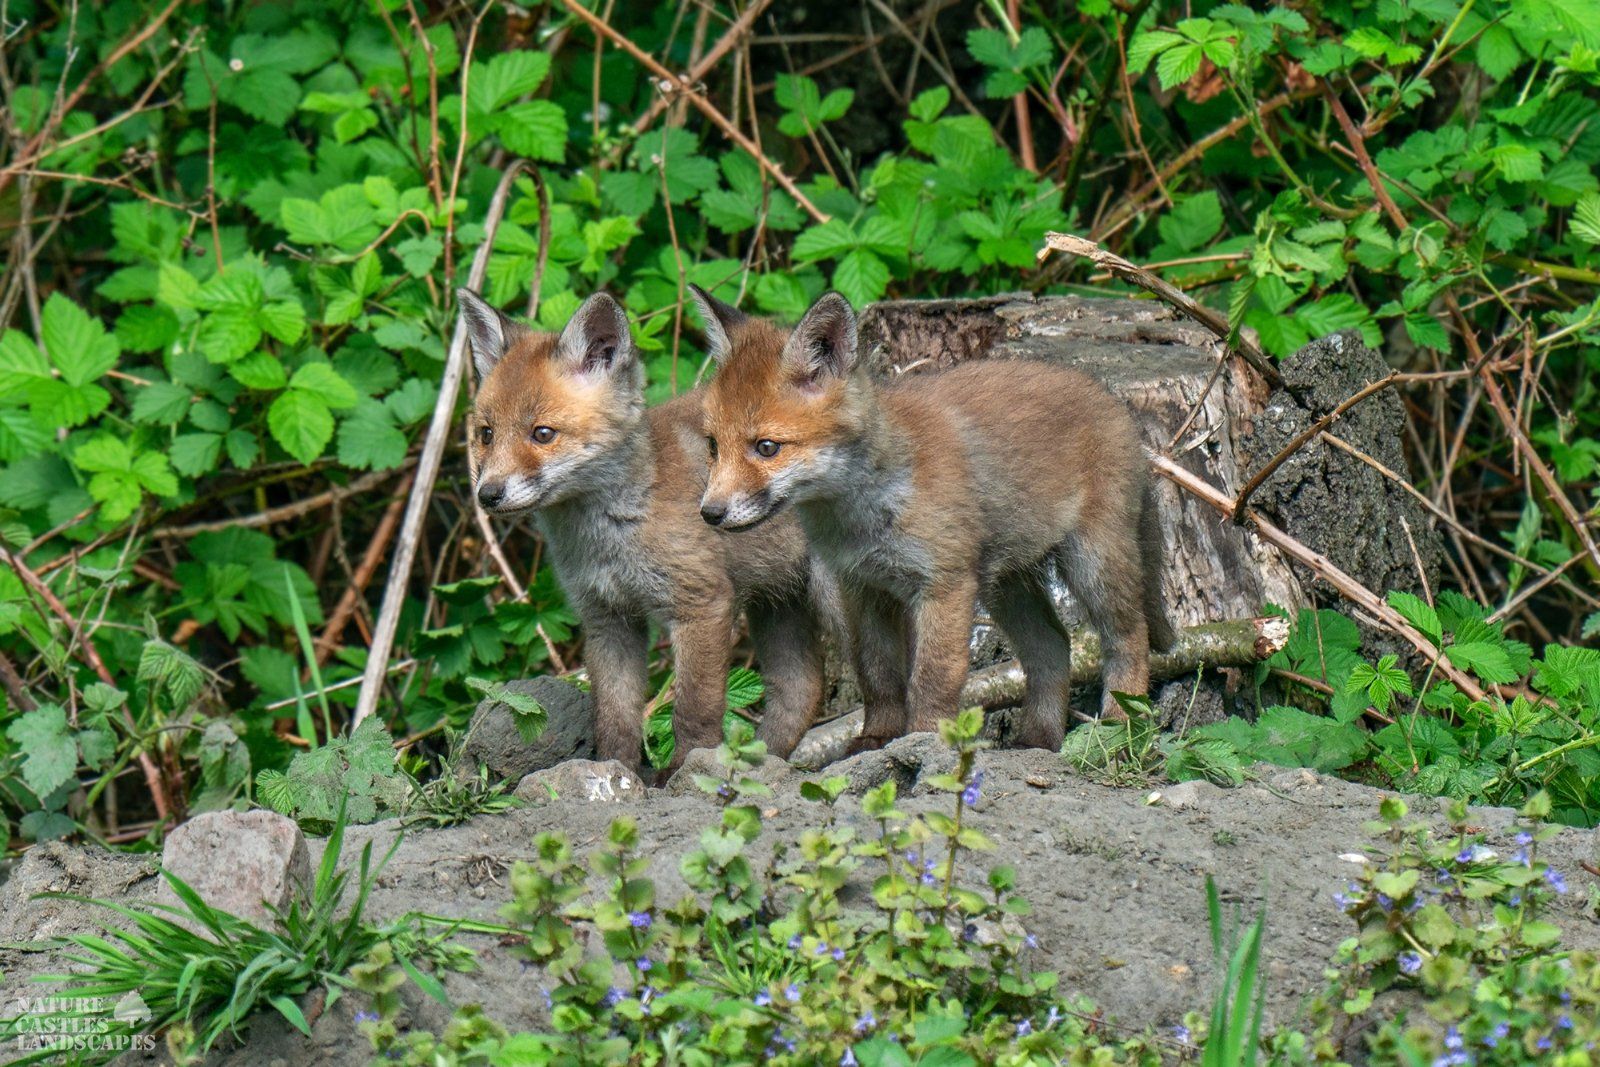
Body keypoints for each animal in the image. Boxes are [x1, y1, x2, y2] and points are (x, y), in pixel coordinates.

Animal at [456, 288, 828, 773]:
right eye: (486, 434)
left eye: (542, 434)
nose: (488, 495)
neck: (611, 538)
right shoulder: (607, 618)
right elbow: (614, 717)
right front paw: (617, 773)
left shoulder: (702, 604)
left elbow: (694, 711)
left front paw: (688, 773)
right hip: (777, 601)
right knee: (801, 689)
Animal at [691, 286, 1175, 754]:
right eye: (713, 446)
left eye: (767, 447)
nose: (709, 513)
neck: (863, 516)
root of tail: (1112, 401)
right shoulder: (862, 588)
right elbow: (878, 675)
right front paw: (877, 738)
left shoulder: (945, 585)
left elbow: (931, 679)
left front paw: (923, 740)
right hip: (1006, 586)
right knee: (1054, 647)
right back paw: (1039, 739)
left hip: (1092, 563)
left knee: (1130, 638)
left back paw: (1120, 728)